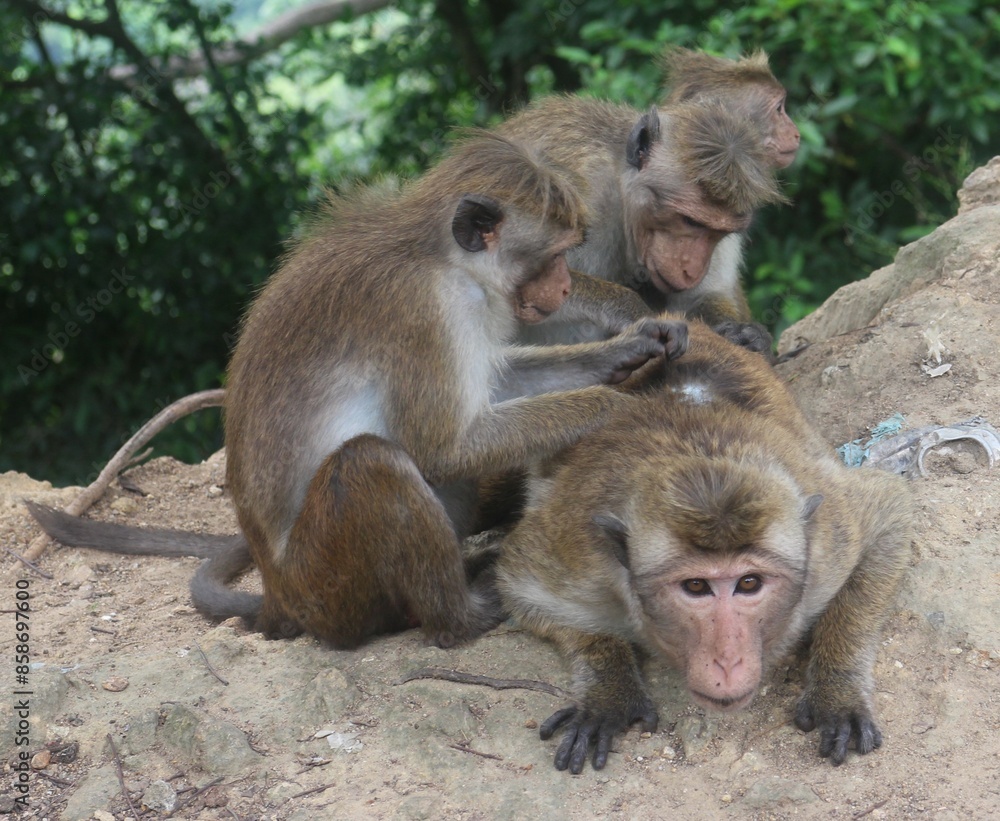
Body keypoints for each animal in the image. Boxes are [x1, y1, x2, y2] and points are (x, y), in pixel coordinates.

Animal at [28, 130, 689, 650]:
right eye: (552, 257)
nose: (564, 288)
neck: (445, 260)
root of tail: (277, 590)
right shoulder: (425, 311)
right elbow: (441, 447)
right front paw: (614, 408)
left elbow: (493, 390)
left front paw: (630, 345)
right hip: (327, 585)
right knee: (374, 462)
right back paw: (457, 617)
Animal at [493, 319, 913, 773]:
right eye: (695, 587)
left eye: (749, 583)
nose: (727, 660)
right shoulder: (578, 557)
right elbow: (518, 585)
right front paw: (609, 692)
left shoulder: (830, 540)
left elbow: (891, 512)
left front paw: (837, 691)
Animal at [499, 96, 786, 354]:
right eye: (690, 221)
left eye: (718, 232)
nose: (691, 271)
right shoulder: (568, 185)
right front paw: (631, 310)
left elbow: (701, 296)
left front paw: (744, 333)